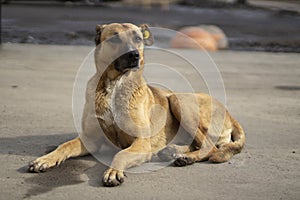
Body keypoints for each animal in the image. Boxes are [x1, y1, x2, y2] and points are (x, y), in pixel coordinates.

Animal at [28, 23, 245, 188]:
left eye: (138, 38)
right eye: (114, 38)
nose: (134, 55)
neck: (116, 85)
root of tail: (231, 115)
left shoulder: (141, 142)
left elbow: (121, 154)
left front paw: (113, 171)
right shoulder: (90, 138)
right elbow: (64, 146)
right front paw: (45, 159)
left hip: (178, 100)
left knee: (210, 148)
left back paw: (186, 158)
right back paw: (172, 151)